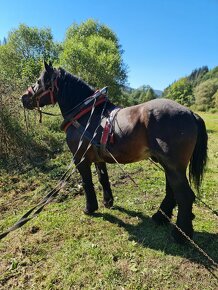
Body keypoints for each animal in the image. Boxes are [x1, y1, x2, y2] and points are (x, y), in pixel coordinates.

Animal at [20, 62, 208, 244]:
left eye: (38, 81)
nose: (23, 98)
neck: (86, 115)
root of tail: (190, 113)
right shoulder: (98, 158)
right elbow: (103, 179)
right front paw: (108, 201)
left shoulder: (81, 159)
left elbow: (87, 183)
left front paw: (90, 208)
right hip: (169, 166)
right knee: (172, 192)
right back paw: (160, 217)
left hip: (173, 166)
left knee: (185, 196)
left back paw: (180, 235)